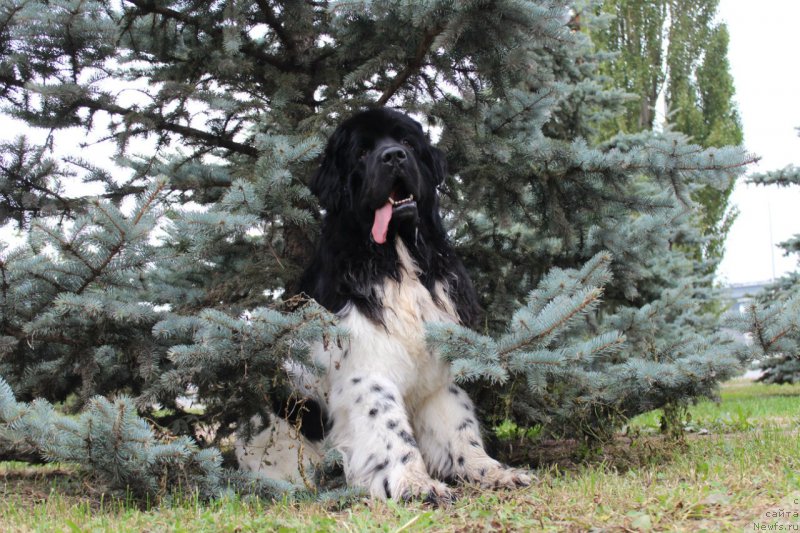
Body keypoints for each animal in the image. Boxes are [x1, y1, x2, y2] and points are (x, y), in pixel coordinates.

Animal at [234, 107, 532, 498]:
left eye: (406, 141)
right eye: (361, 152)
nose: (394, 156)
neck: (397, 257)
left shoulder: (435, 367)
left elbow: (458, 425)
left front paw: (490, 471)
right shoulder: (367, 370)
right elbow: (389, 428)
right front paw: (416, 485)